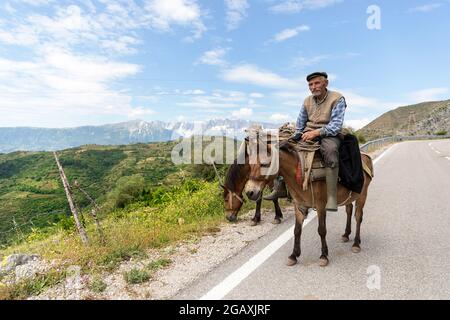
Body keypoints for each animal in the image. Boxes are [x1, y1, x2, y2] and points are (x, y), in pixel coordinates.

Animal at [243, 136, 372, 266]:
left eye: (264, 164)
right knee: (349, 211)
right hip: (350, 197)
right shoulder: (298, 205)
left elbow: (321, 230)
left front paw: (324, 255)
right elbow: (297, 230)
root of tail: (365, 156)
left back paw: (356, 243)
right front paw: (294, 255)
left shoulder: (320, 206)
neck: (301, 171)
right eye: (250, 165)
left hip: (362, 195)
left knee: (358, 217)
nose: (250, 192)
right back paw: (346, 234)